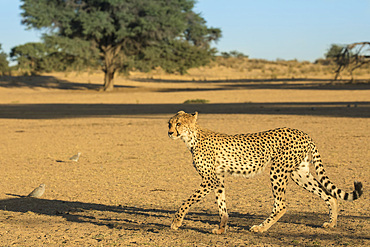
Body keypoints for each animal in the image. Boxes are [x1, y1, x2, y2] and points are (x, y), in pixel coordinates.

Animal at [168, 111, 364, 234]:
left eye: (179, 124)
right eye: (169, 123)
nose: (170, 133)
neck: (191, 137)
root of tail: (303, 132)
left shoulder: (210, 179)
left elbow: (187, 201)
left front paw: (176, 222)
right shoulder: (219, 179)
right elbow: (221, 205)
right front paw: (222, 228)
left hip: (278, 170)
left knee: (281, 204)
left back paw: (261, 228)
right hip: (299, 173)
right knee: (329, 195)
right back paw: (332, 223)